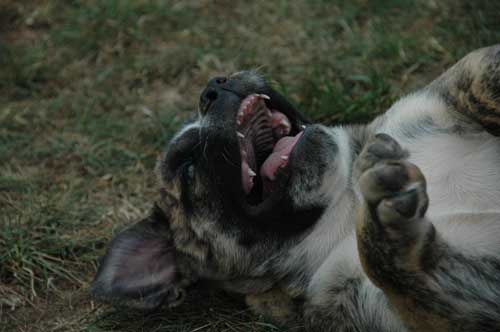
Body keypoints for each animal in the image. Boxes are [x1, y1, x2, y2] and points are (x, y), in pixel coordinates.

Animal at [92, 45, 500, 330]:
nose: (211, 89)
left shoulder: (434, 98)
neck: (345, 201)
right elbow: (390, 267)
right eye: (188, 168)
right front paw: (386, 221)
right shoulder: (461, 302)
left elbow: (478, 69)